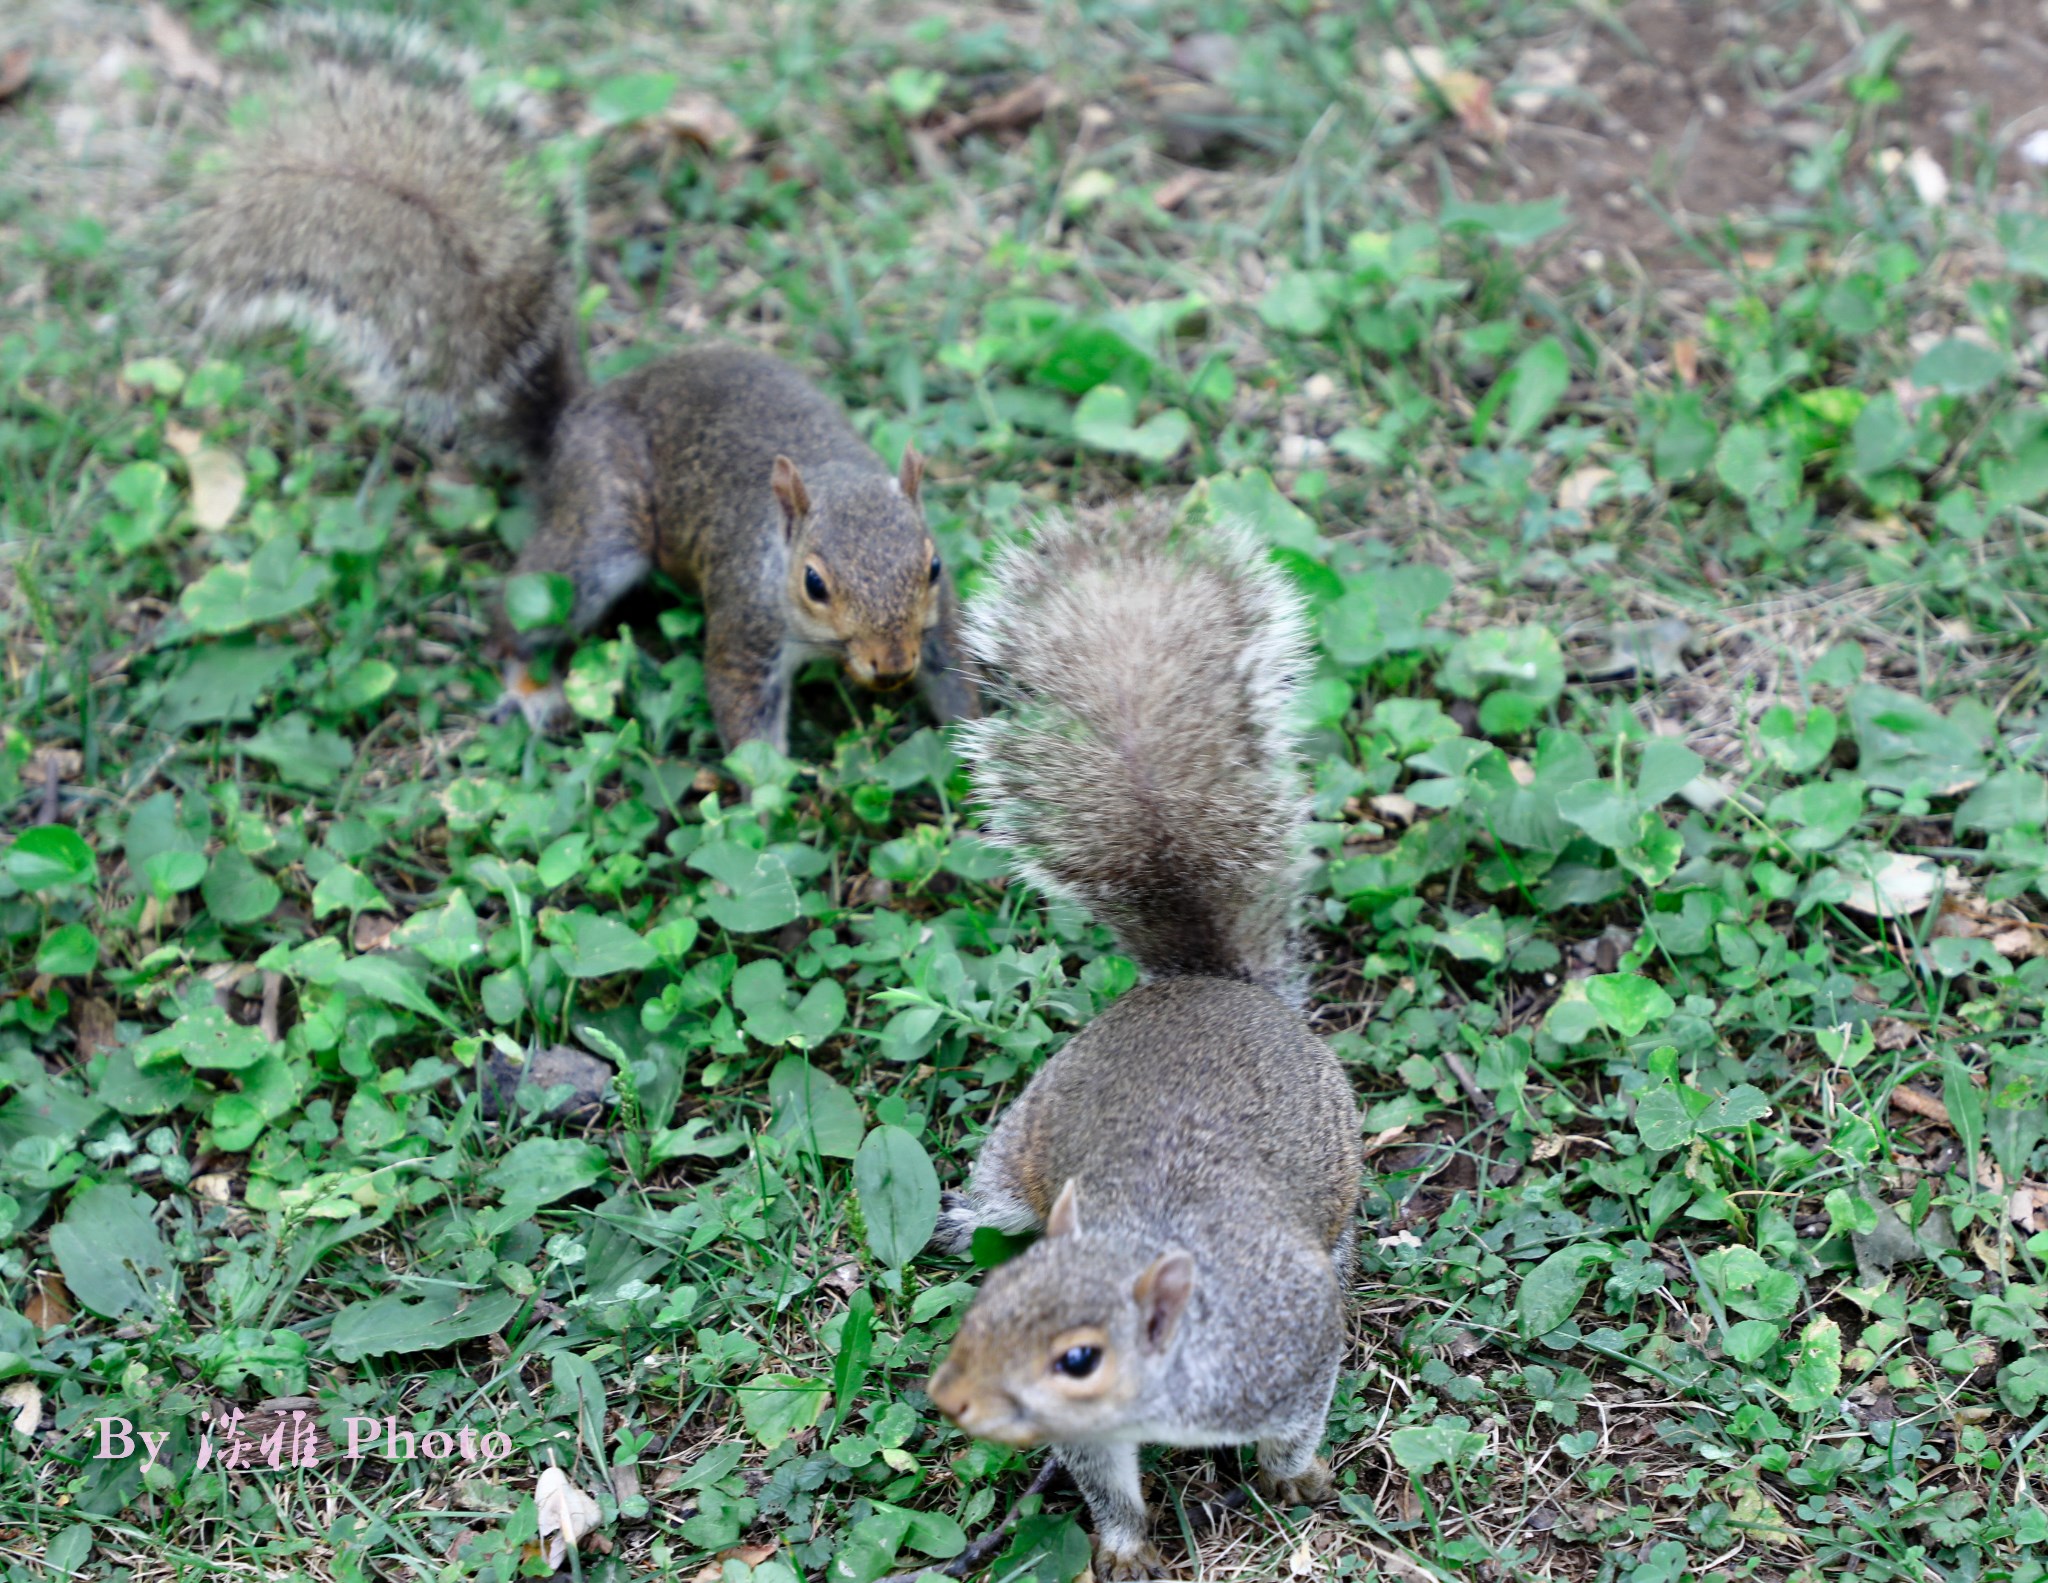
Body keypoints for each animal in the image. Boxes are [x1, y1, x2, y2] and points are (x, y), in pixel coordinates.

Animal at [929, 505, 1359, 1580]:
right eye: (995, 1295)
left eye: (1079, 1356)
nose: (949, 1397)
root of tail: (1203, 985)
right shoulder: (1095, 1437)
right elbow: (1107, 1484)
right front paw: (1122, 1547)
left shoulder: (1295, 1340)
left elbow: (1299, 1420)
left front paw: (1296, 1477)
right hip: (1026, 1138)